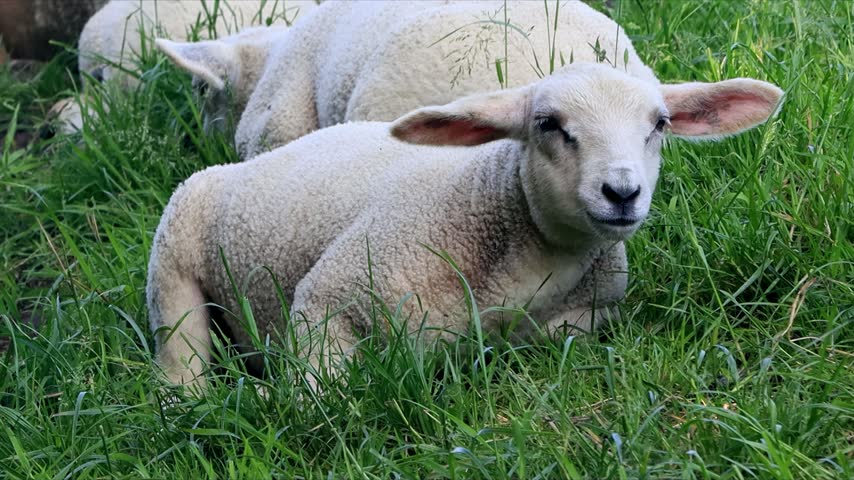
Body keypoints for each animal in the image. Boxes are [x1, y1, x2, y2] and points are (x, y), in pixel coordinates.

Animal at [146, 62, 784, 390]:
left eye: (660, 124)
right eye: (548, 124)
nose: (621, 193)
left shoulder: (585, 317)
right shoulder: (329, 299)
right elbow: (323, 401)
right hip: (174, 255)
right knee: (181, 355)